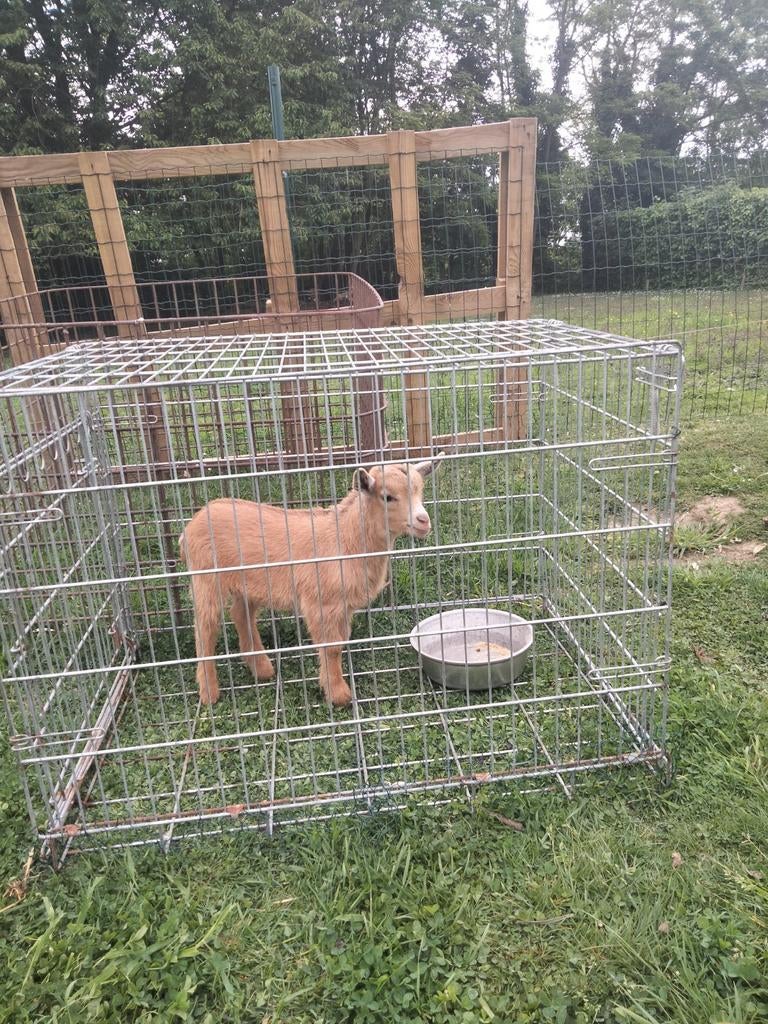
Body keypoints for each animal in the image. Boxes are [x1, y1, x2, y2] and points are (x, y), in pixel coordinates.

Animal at [179, 454, 445, 707]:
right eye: (387, 497)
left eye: (420, 490)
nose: (423, 521)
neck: (346, 539)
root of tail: (191, 525)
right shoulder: (321, 604)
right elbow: (332, 647)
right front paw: (339, 695)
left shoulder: (343, 606)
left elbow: (340, 642)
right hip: (205, 579)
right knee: (205, 629)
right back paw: (209, 692)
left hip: (247, 584)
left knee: (241, 614)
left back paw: (261, 668)